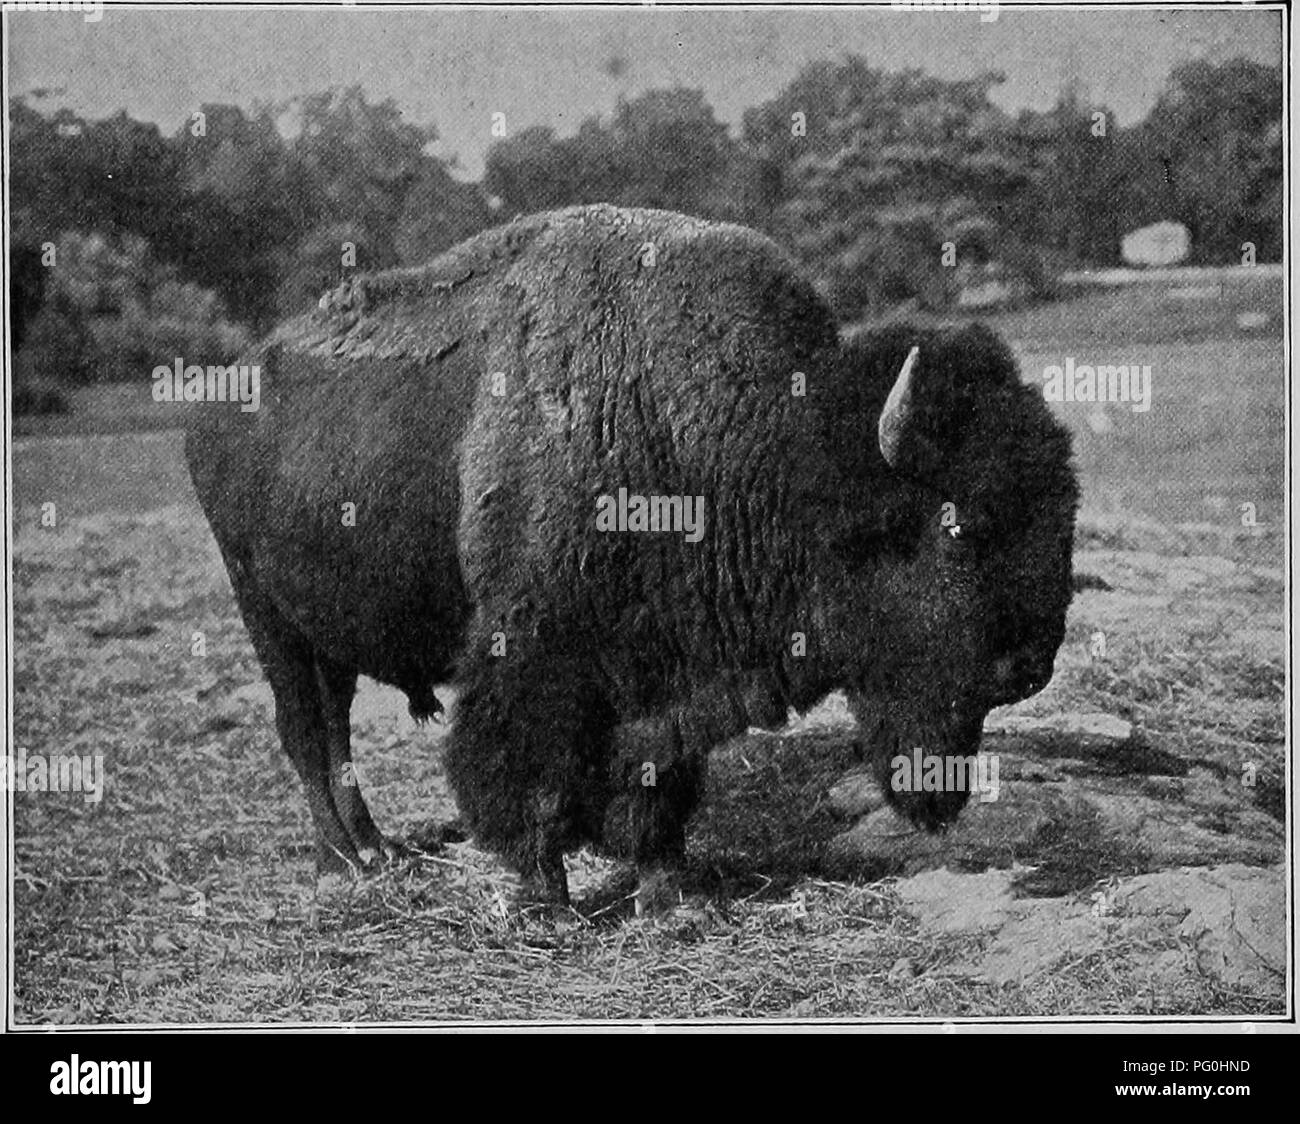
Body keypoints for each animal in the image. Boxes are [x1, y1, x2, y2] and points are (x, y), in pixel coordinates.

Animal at [183, 201, 1076, 904]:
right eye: (961, 524)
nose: (1029, 667)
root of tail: (219, 392)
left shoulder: (662, 672)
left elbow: (658, 782)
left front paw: (670, 894)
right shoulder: (533, 656)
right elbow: (526, 776)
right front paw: (543, 898)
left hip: (321, 632)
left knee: (332, 728)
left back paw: (377, 849)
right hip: (267, 620)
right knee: (307, 732)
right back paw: (344, 864)